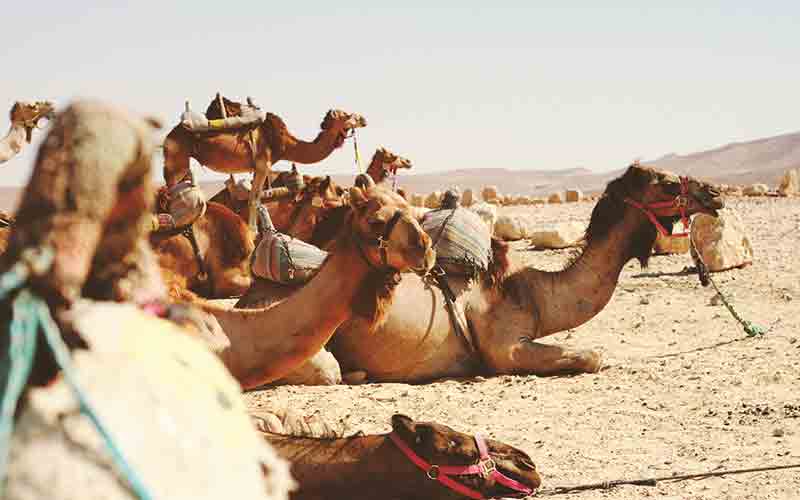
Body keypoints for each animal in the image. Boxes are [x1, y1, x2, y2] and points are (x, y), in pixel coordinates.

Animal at [164, 96, 368, 231]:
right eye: (347, 115)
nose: (364, 119)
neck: (285, 145)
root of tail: (169, 136)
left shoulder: (257, 168)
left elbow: (255, 199)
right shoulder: (264, 164)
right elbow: (254, 200)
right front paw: (253, 235)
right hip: (177, 161)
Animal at [238, 166, 724, 380]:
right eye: (665, 182)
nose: (715, 192)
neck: (530, 292)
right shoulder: (503, 348)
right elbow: (591, 356)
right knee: (329, 370)